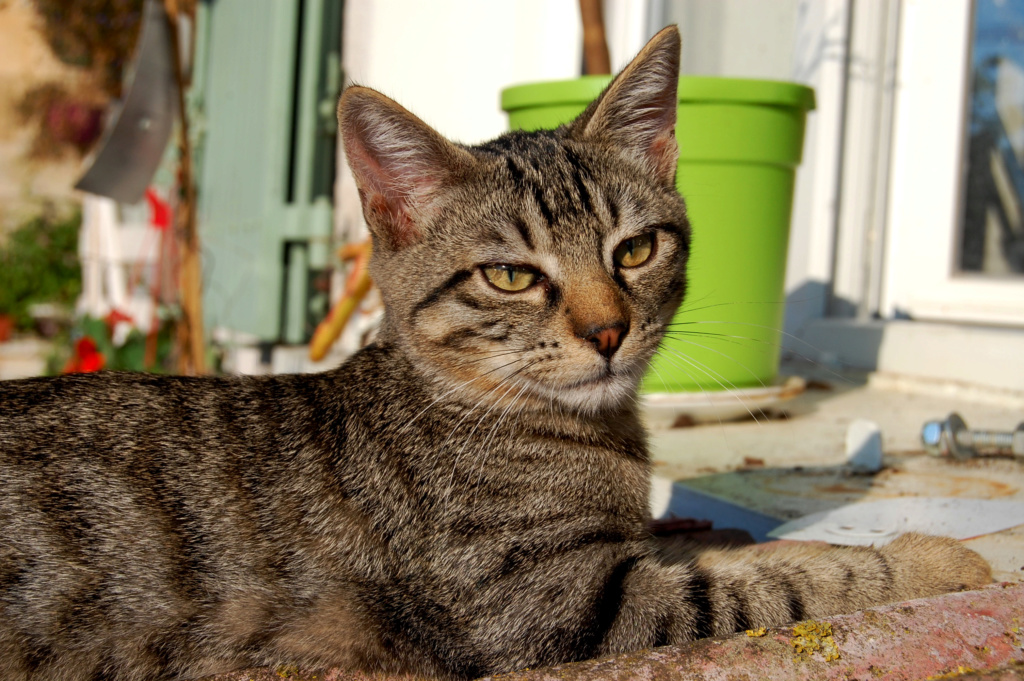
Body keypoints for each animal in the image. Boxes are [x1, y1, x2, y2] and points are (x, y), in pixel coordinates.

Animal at [0, 26, 991, 679]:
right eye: (511, 276)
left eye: (636, 250)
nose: (608, 330)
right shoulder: (554, 608)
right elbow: (784, 580)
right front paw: (933, 561)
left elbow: (731, 551)